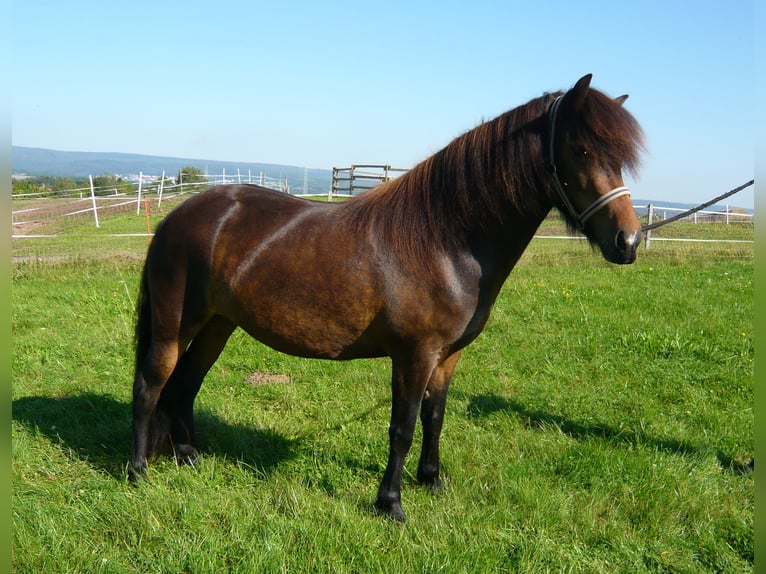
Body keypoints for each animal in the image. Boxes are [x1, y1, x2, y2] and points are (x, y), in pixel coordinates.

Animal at [130, 74, 645, 522]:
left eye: (620, 157)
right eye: (581, 149)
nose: (629, 241)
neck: (445, 240)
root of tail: (179, 216)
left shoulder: (446, 356)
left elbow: (435, 419)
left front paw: (432, 482)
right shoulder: (414, 356)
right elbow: (403, 427)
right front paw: (391, 504)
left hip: (218, 325)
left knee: (185, 385)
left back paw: (189, 458)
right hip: (175, 325)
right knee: (152, 384)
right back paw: (137, 474)